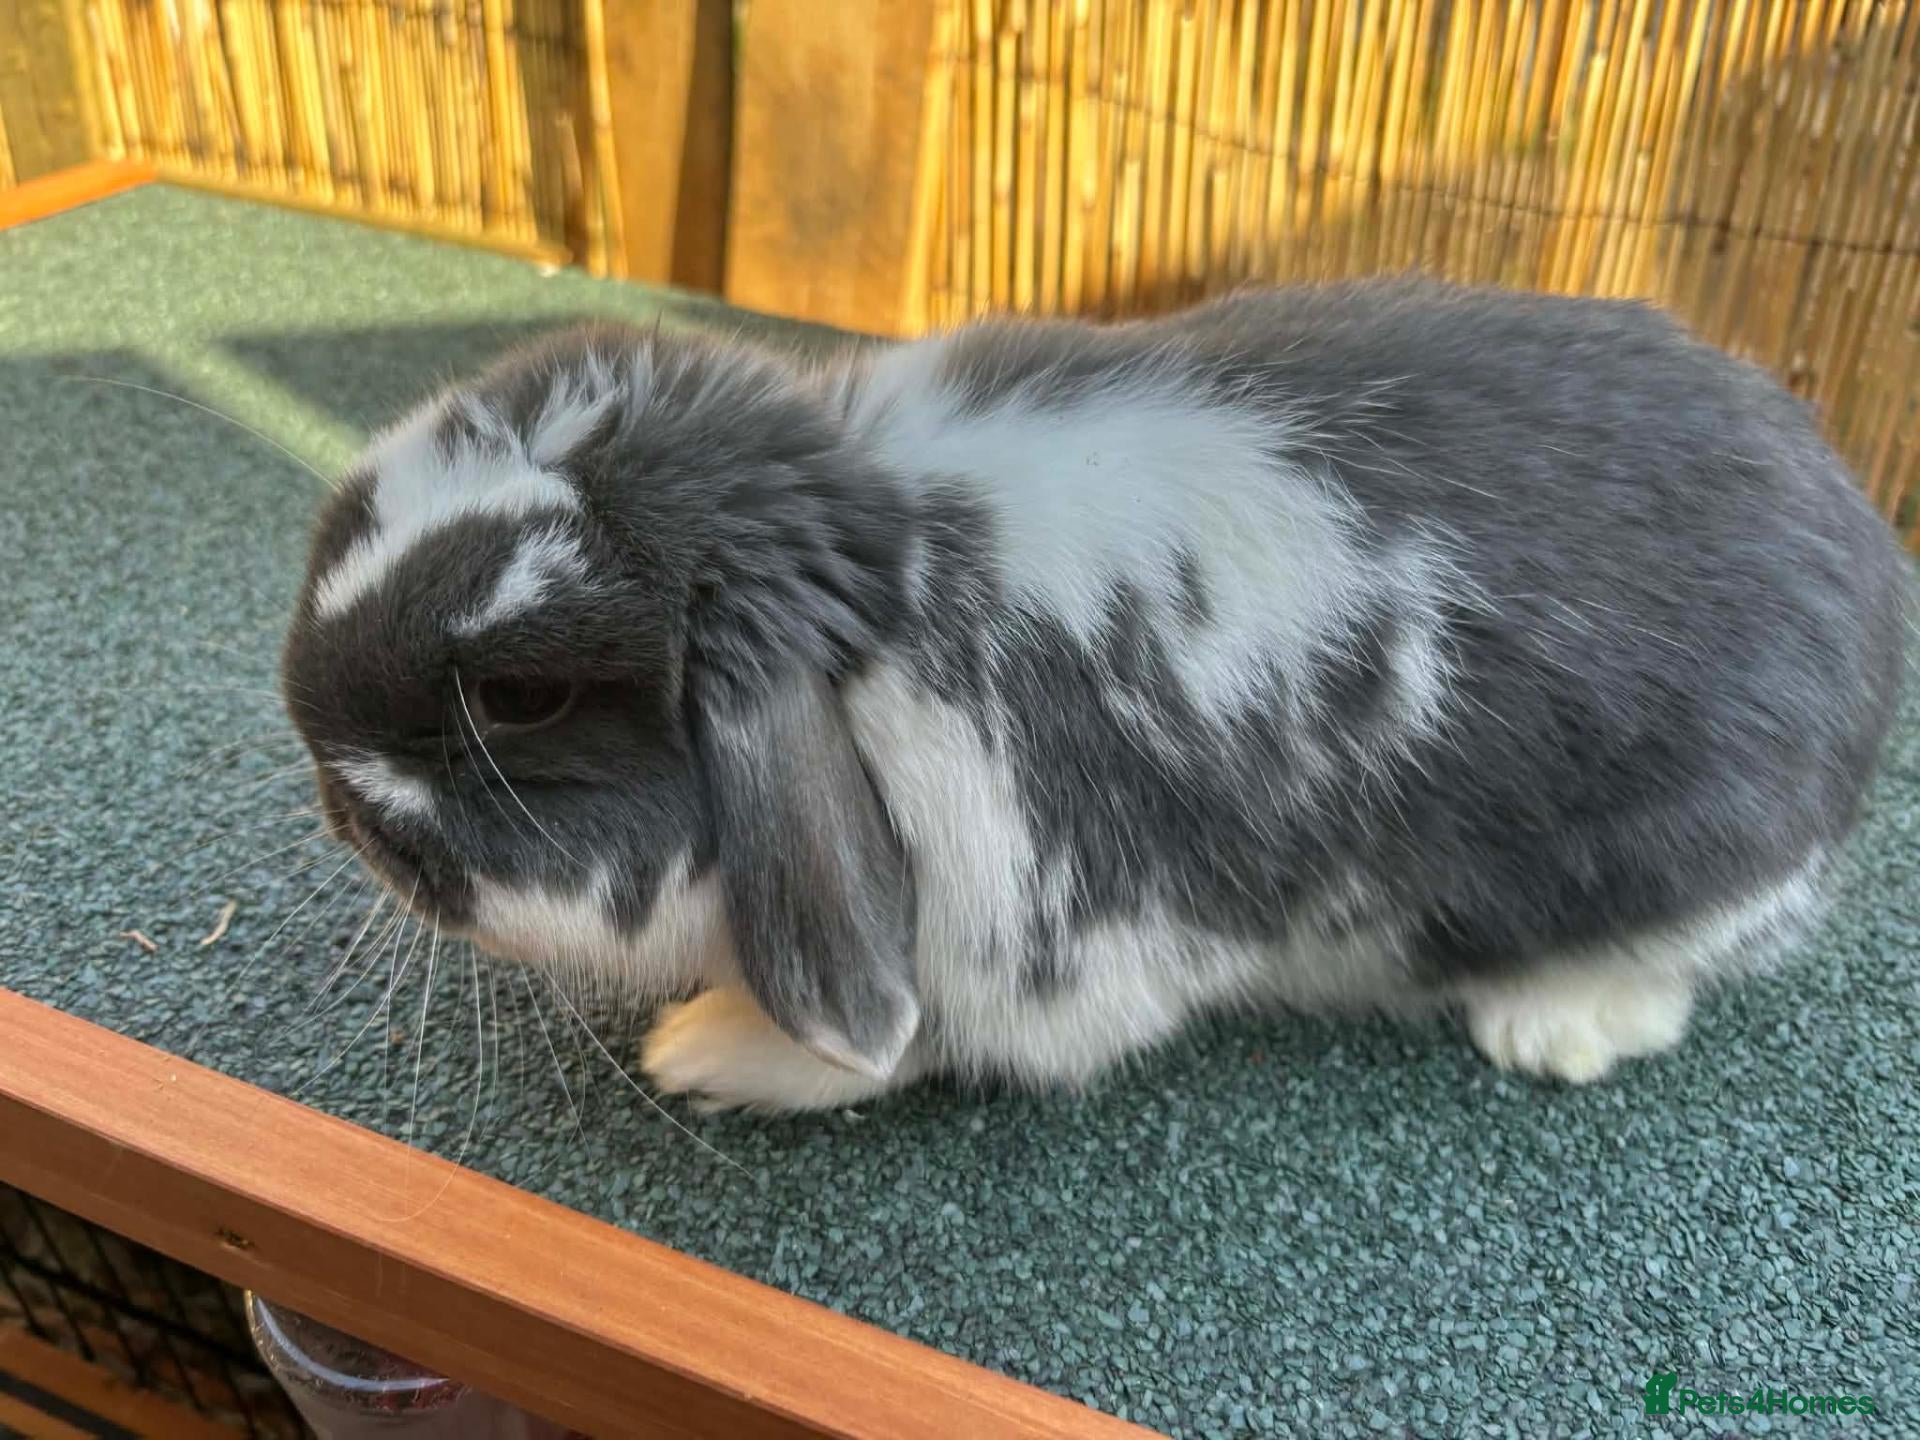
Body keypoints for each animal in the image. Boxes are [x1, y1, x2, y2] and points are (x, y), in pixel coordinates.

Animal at [280, 279, 1909, 1113]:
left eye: (524, 695)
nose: (322, 773)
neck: (890, 607)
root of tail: (1862, 550)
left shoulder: (1041, 936)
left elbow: (909, 1041)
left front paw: (712, 1053)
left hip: (1698, 862)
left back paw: (1552, 1026)